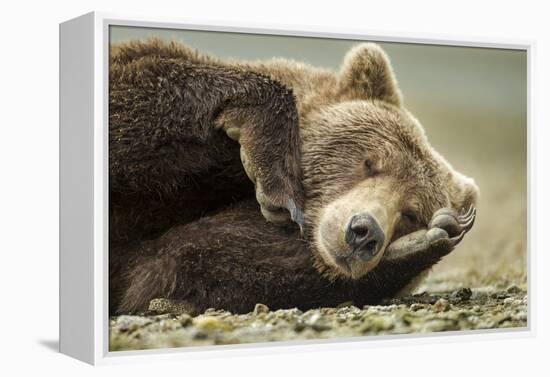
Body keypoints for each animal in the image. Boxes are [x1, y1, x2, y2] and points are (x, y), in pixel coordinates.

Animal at [109, 38, 478, 314]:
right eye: (370, 162)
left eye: (411, 213)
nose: (363, 232)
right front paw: (274, 180)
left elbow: (175, 264)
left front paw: (423, 243)